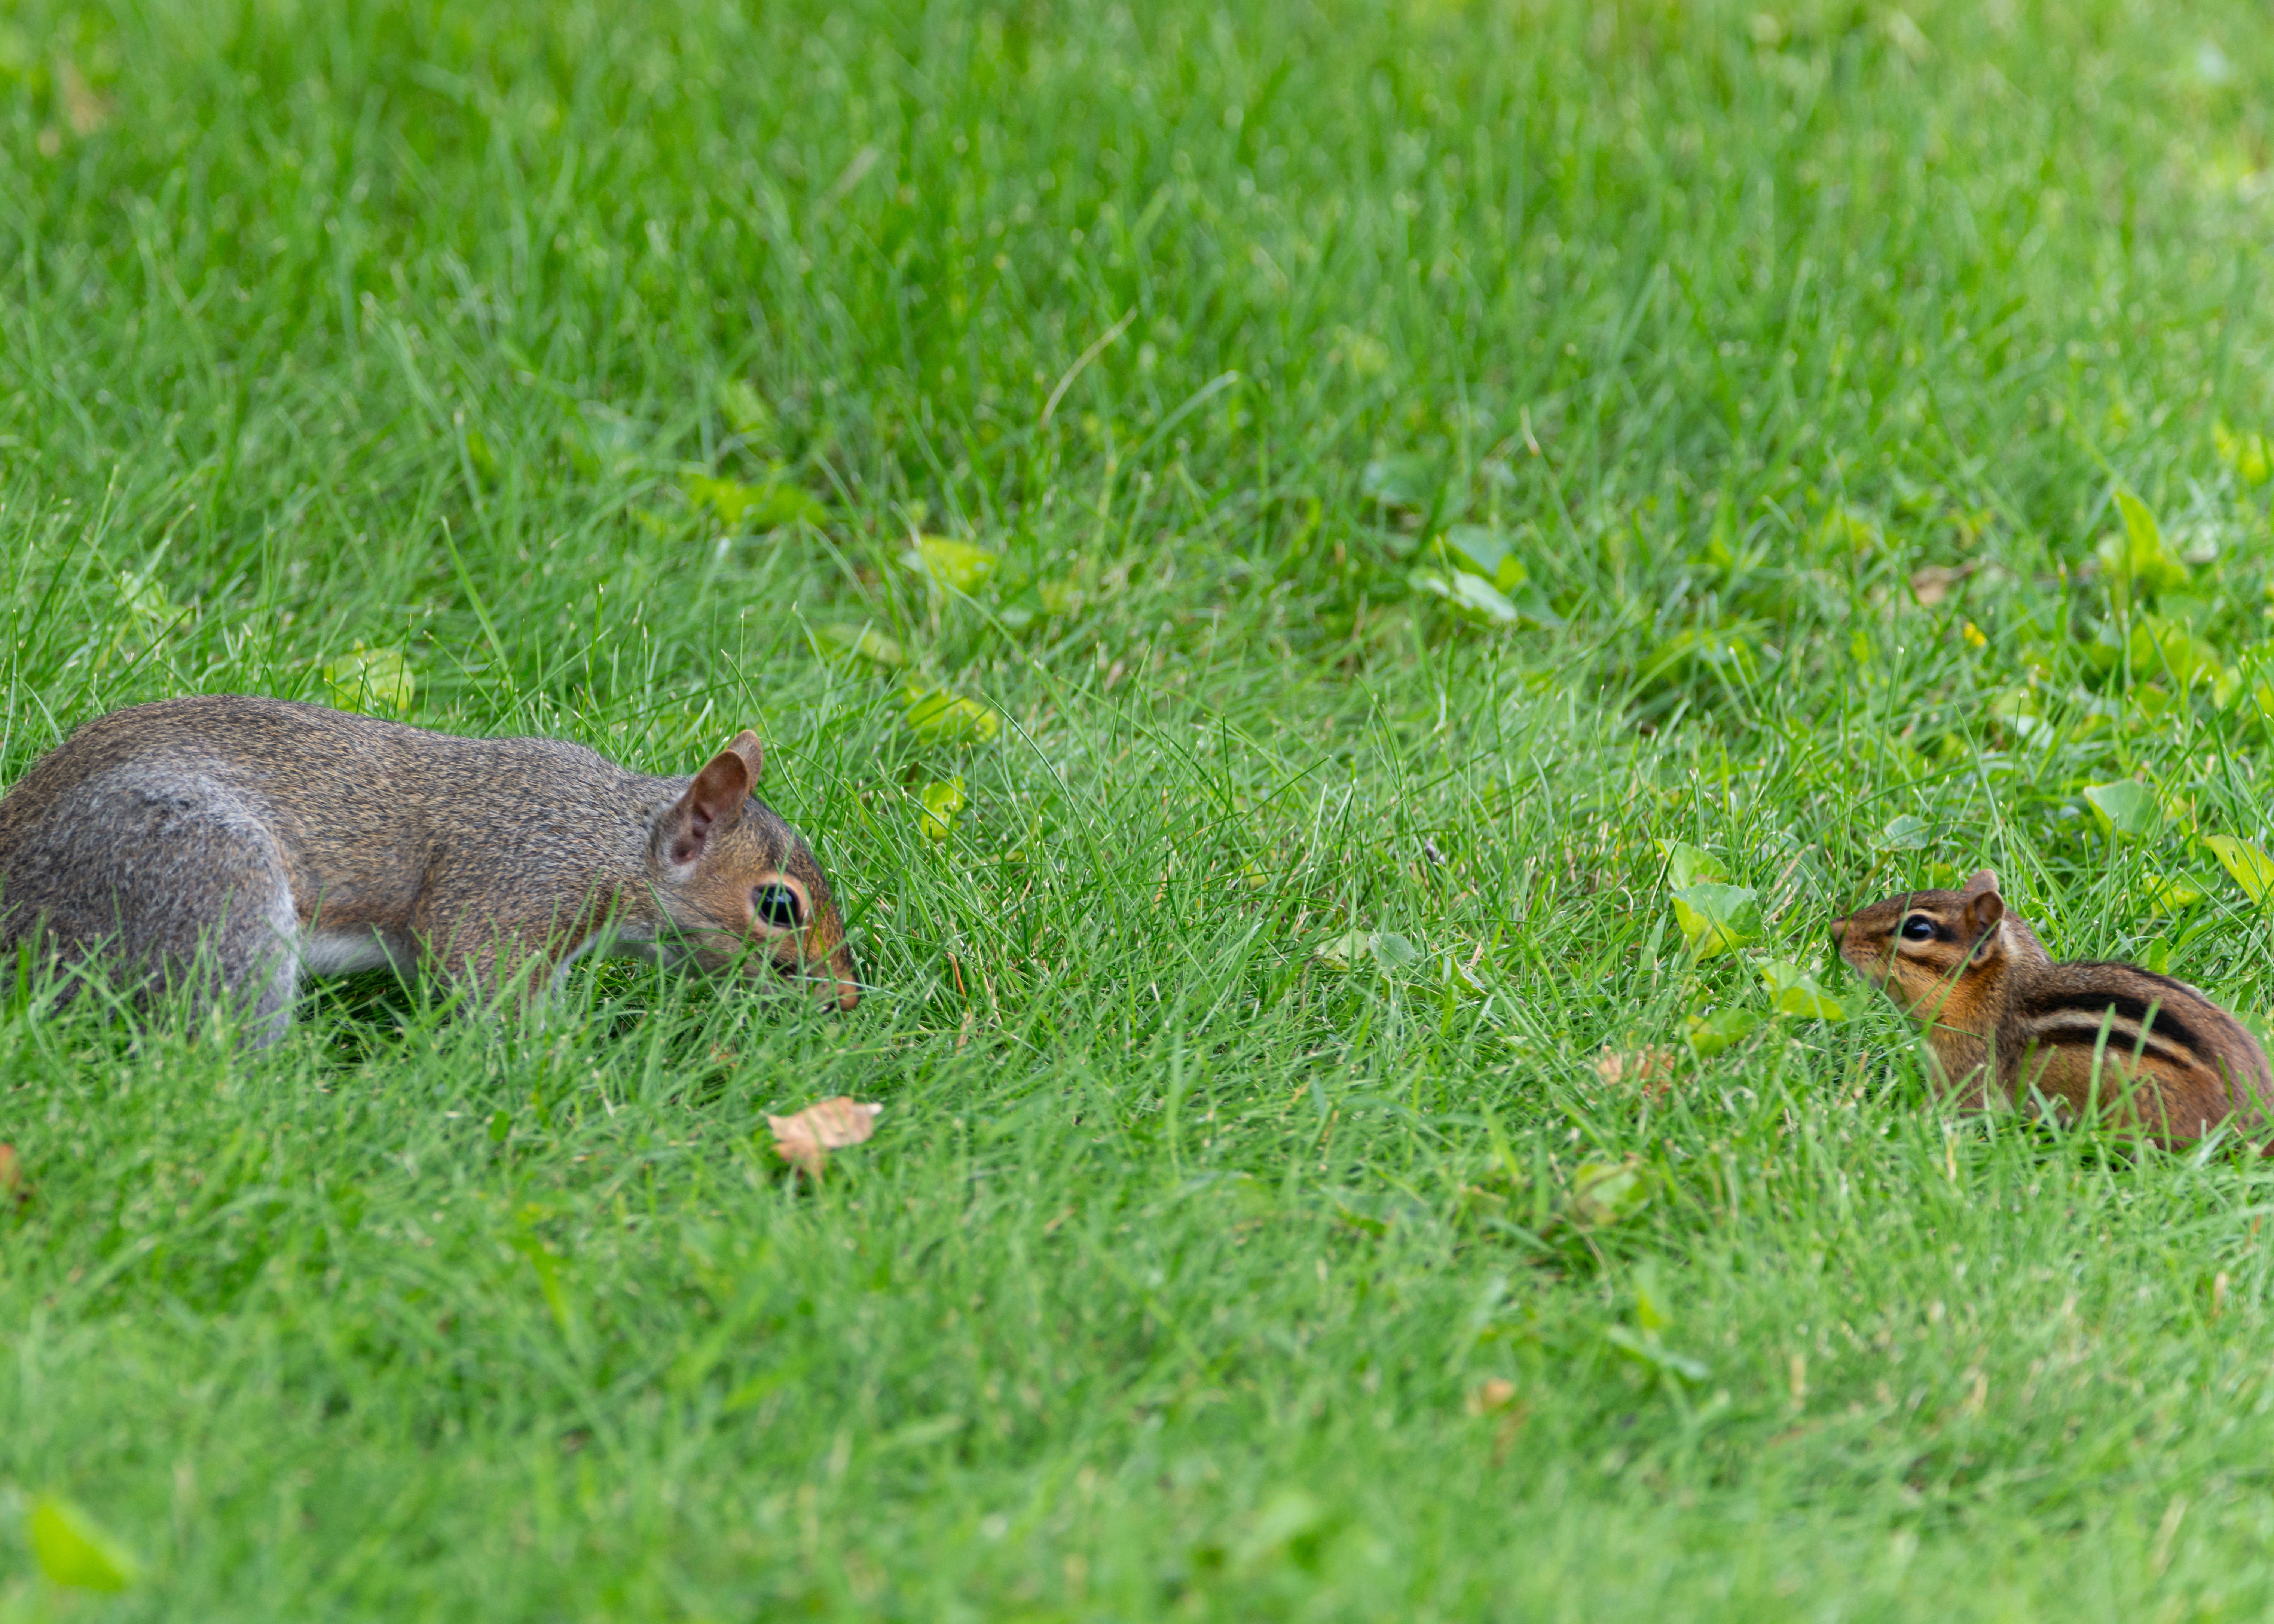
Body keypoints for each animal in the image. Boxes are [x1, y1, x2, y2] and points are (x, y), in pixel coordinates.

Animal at [0, 695, 859, 1044]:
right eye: (778, 907)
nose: (847, 998)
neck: (609, 839)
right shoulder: (514, 882)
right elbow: (478, 967)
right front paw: (571, 1054)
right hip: (207, 875)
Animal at [1831, 869, 2269, 1147]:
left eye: (1917, 929)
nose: (1836, 929)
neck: (1995, 991)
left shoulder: (1968, 1072)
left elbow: (1953, 1109)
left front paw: (1894, 1120)